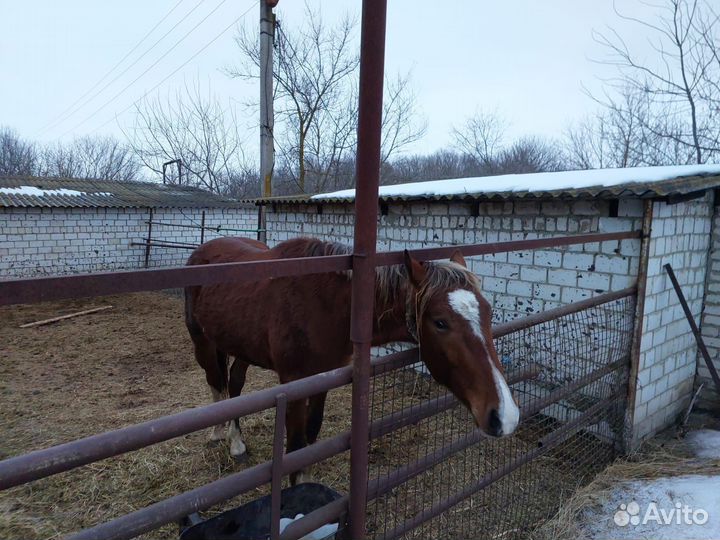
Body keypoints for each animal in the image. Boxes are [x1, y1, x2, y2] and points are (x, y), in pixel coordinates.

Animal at [184, 237, 519, 482]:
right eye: (440, 322)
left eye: (488, 312)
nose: (505, 415)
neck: (329, 305)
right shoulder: (294, 382)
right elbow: (296, 447)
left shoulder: (323, 378)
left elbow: (311, 435)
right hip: (202, 342)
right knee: (216, 382)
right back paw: (223, 435)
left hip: (242, 347)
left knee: (235, 383)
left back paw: (236, 441)